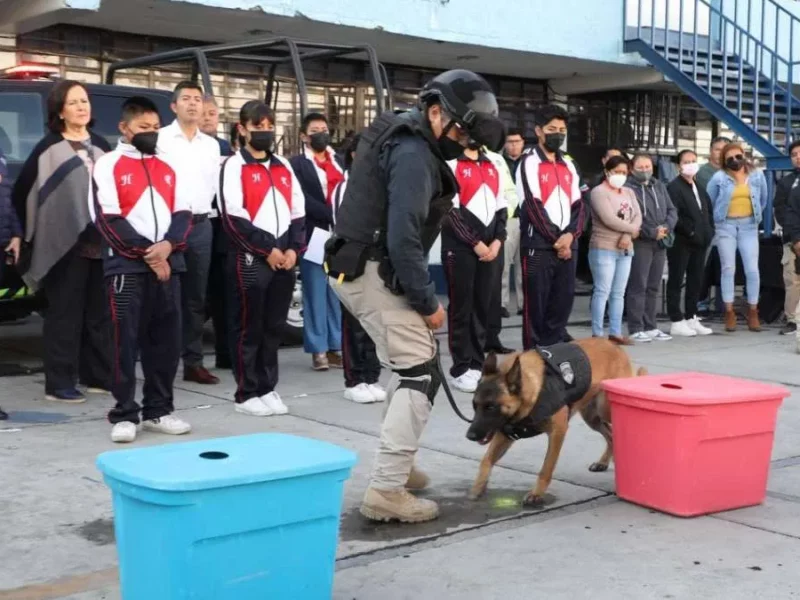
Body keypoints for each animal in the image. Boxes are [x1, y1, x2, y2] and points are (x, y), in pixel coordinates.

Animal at [466, 338, 648, 506]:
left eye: (491, 407)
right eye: (475, 405)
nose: (470, 436)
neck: (533, 389)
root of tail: (613, 344)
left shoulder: (557, 431)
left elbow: (546, 467)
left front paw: (537, 494)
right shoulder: (505, 434)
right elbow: (486, 460)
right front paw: (478, 487)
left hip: (605, 409)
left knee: (613, 428)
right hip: (592, 418)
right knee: (610, 434)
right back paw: (604, 462)